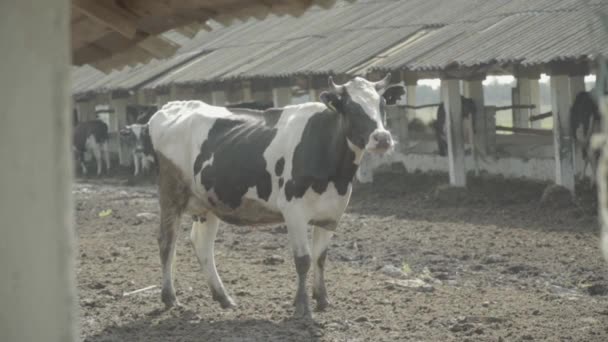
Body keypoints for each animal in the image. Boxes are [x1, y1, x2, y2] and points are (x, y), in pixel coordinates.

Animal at [148, 73, 394, 316]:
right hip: (171, 193)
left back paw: (223, 298)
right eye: (352, 108)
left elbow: (320, 257)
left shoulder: (331, 214)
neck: (335, 174)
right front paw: (302, 306)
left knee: (202, 244)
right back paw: (170, 298)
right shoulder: (294, 211)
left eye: (382, 104)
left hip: (208, 202)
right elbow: (303, 260)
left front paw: (322, 299)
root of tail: (173, 106)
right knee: (167, 242)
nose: (382, 138)